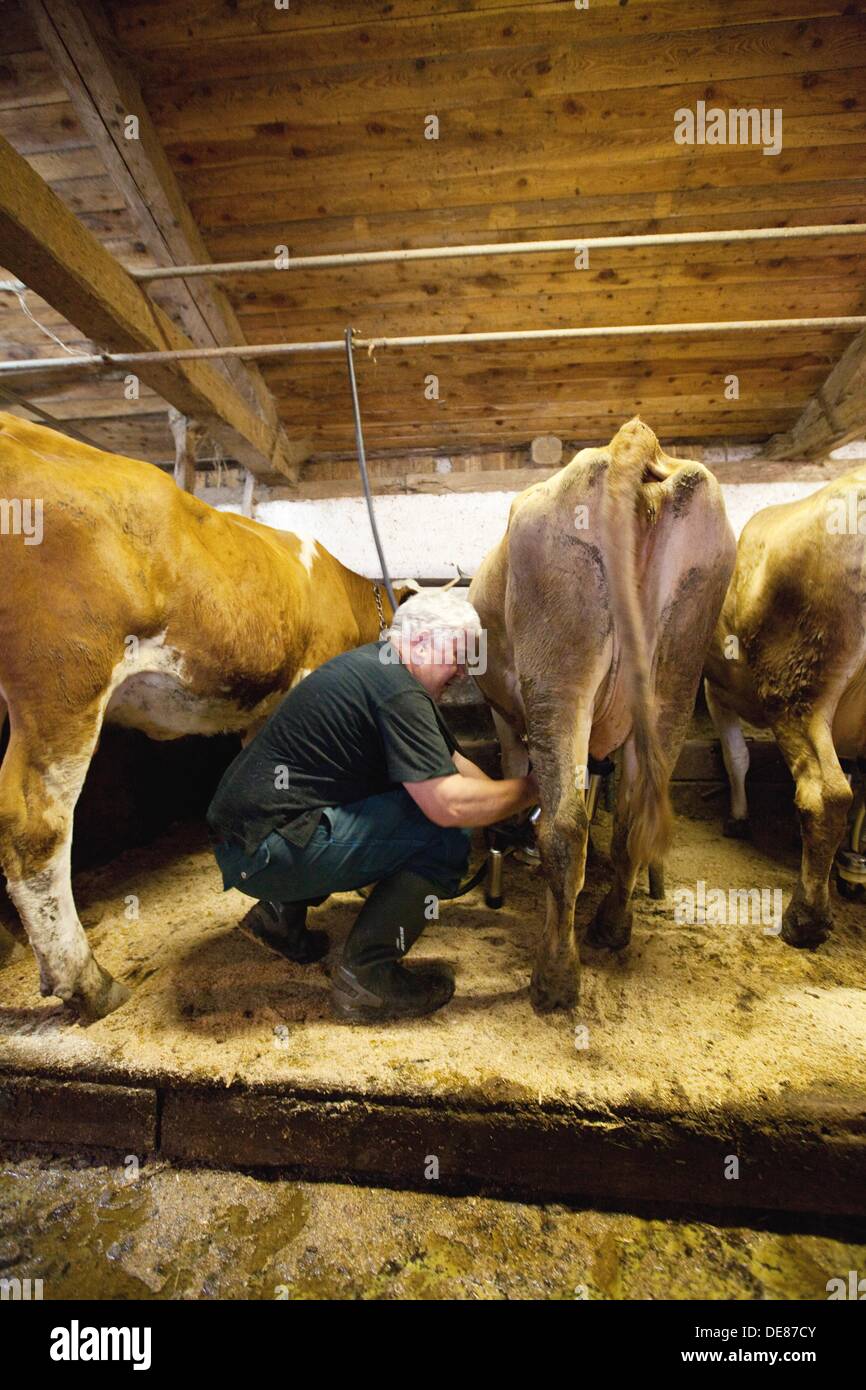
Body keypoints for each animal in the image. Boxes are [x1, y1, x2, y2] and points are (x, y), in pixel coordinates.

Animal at [469, 411, 733, 1011]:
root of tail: (629, 444)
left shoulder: (504, 714)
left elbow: (517, 768)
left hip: (558, 672)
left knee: (567, 826)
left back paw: (555, 977)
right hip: (677, 670)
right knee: (632, 819)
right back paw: (611, 928)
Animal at [706, 472, 866, 950]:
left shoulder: (715, 690)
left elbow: (736, 757)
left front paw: (738, 818)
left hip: (796, 690)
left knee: (825, 795)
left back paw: (805, 918)